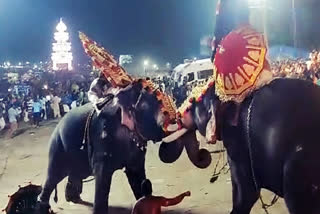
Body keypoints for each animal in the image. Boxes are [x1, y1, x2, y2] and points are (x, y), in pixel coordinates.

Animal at [37, 80, 170, 214]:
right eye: (156, 102)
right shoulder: (101, 139)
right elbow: (102, 176)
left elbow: (135, 171)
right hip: (58, 145)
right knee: (54, 175)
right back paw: (43, 204)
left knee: (75, 172)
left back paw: (73, 198)